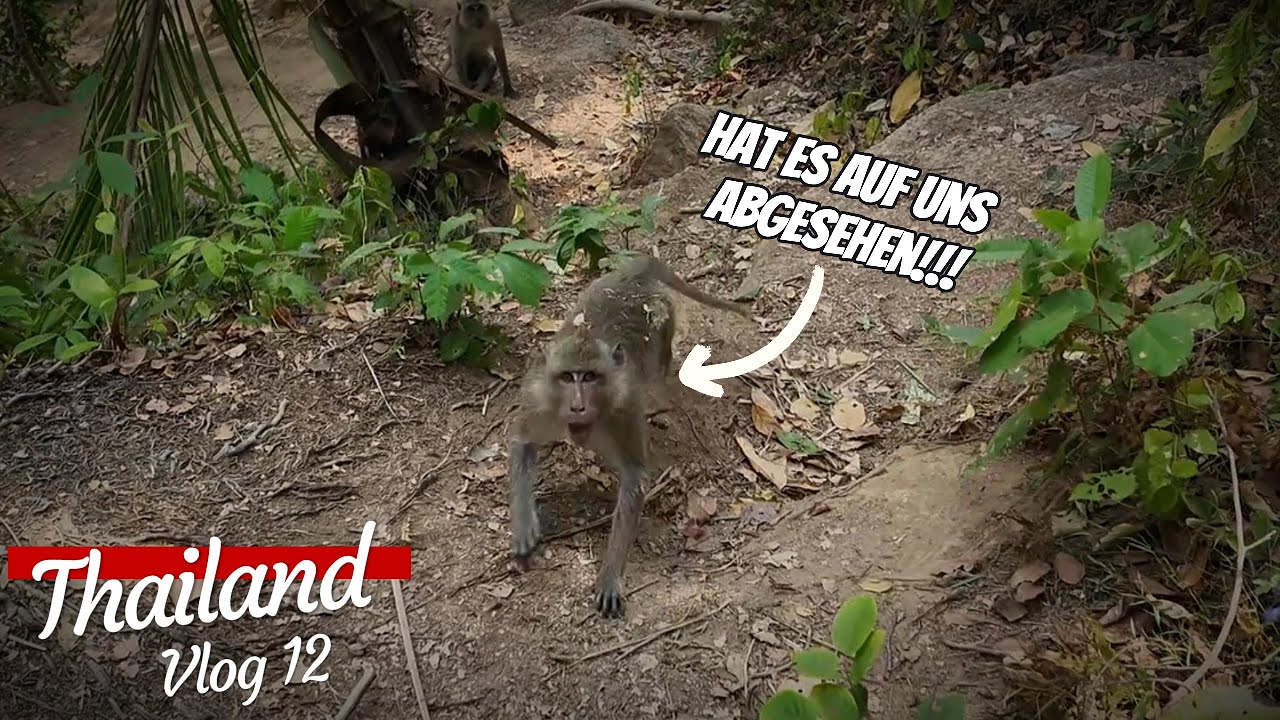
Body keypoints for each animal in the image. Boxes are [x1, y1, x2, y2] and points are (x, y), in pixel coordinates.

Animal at [506, 254, 752, 618]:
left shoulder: (623, 412)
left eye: (590, 377)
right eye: (567, 377)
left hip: (661, 316)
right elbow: (522, 441)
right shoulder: (540, 402)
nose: (577, 406)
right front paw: (524, 526)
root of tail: (632, 272)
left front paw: (610, 573)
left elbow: (634, 475)